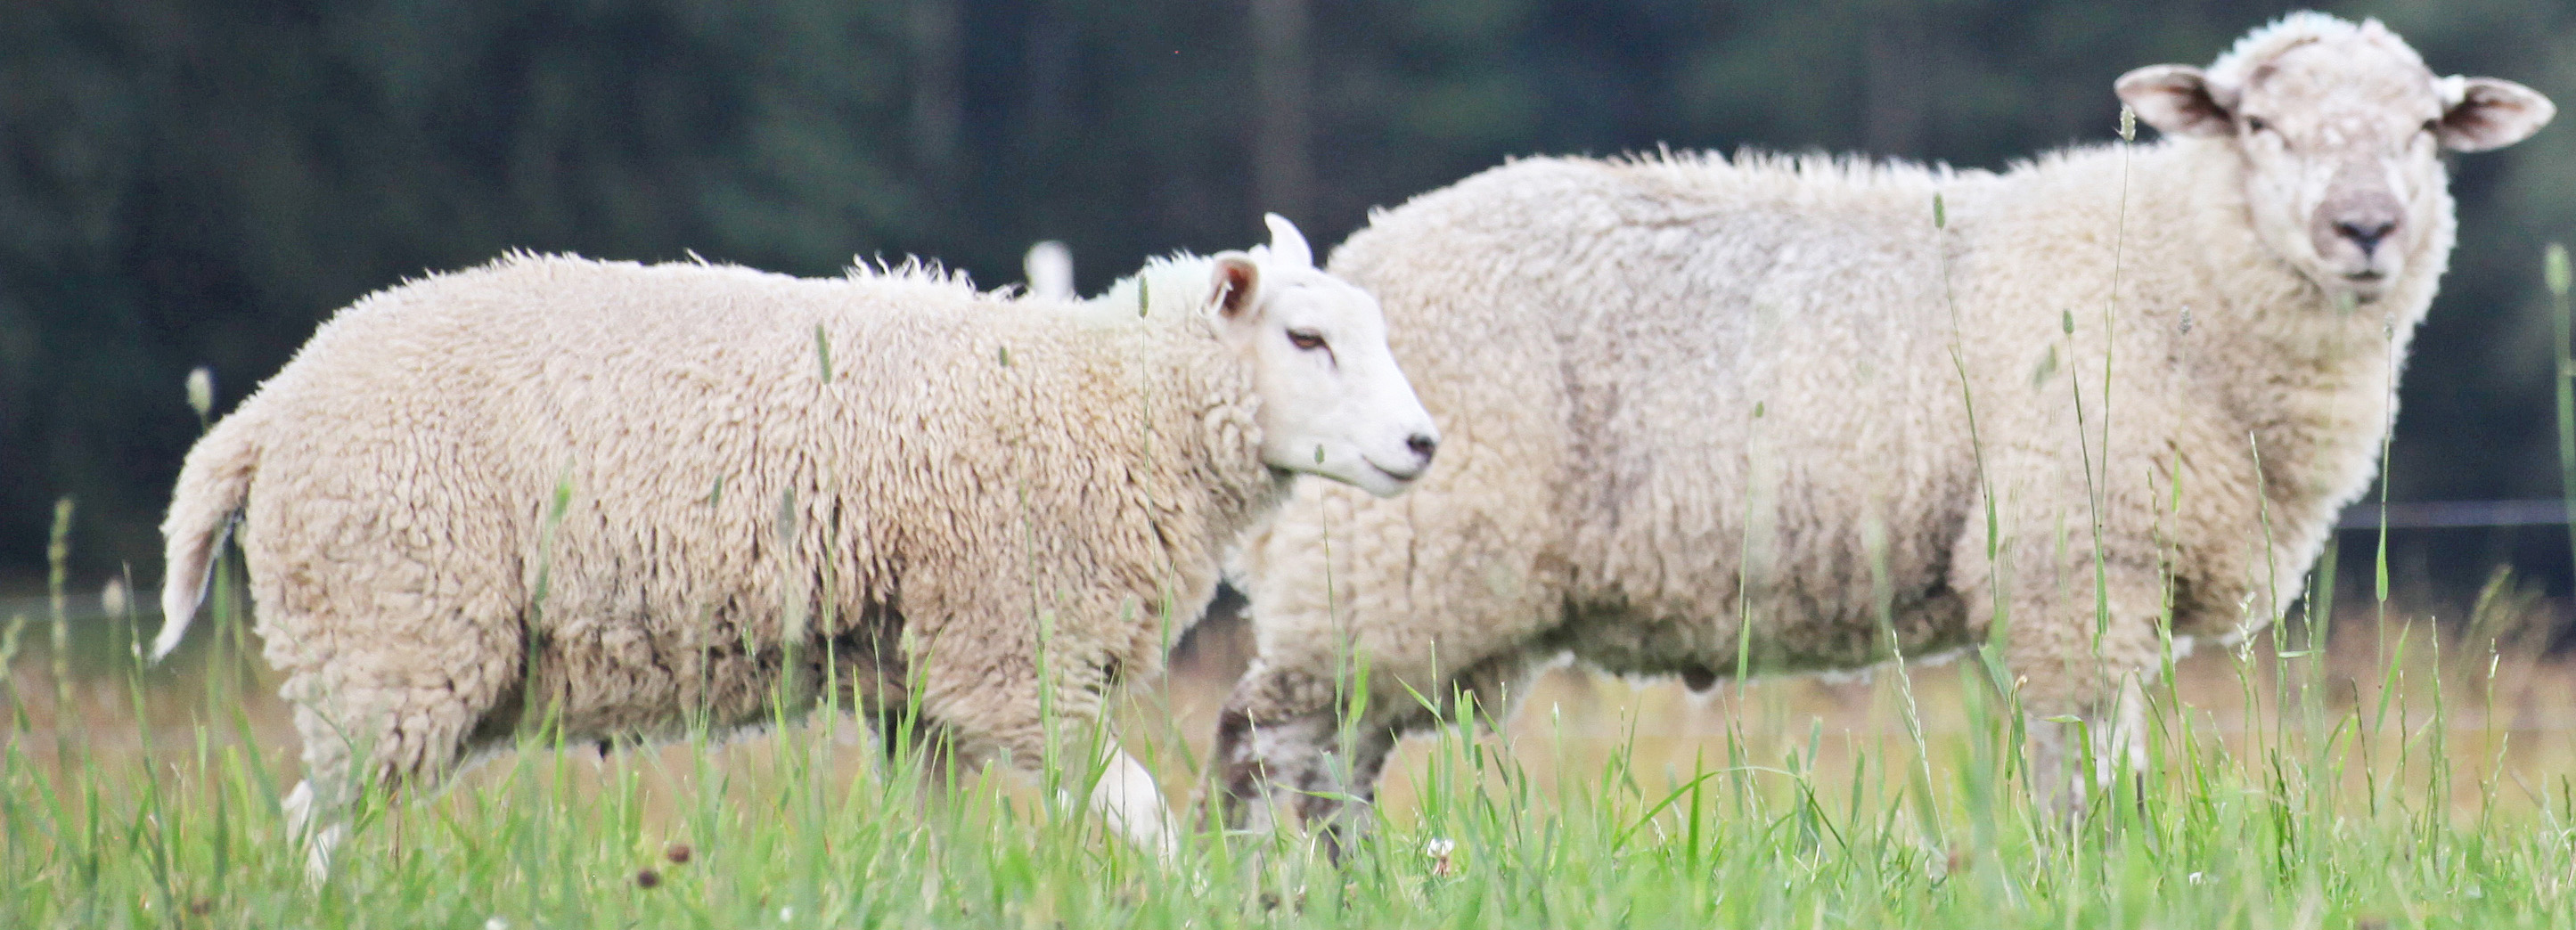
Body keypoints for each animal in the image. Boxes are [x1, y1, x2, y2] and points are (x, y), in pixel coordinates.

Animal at [155, 214, 1452, 870]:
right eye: (1304, 339)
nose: (1421, 444)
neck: (1100, 401)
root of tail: (264, 413)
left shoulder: (921, 695)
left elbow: (928, 847)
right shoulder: (1009, 660)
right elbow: (1137, 812)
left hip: (395, 652)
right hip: (394, 632)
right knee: (311, 827)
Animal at [1221, 12, 2555, 850]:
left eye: (2423, 129)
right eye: (2258, 126)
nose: (2364, 228)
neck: (2178, 272)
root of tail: (1361, 251)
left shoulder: (2105, 574)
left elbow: (2103, 773)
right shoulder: (2072, 559)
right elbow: (2081, 780)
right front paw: (2089, 880)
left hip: (1399, 586)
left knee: (1335, 766)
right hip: (1392, 558)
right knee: (1262, 745)